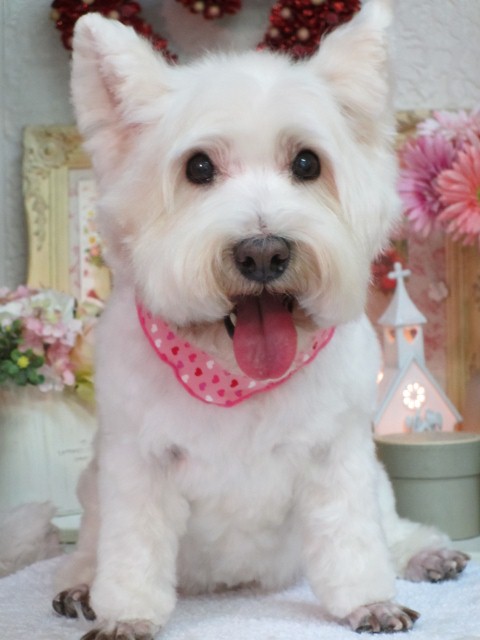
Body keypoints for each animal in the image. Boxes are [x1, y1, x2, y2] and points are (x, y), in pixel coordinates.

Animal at [52, 2, 469, 638]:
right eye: (198, 167)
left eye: (307, 162)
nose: (264, 254)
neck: (231, 373)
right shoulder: (135, 463)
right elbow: (131, 551)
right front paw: (126, 614)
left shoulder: (339, 455)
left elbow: (354, 539)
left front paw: (369, 602)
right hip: (91, 488)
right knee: (88, 546)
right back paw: (77, 585)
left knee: (392, 527)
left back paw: (428, 554)